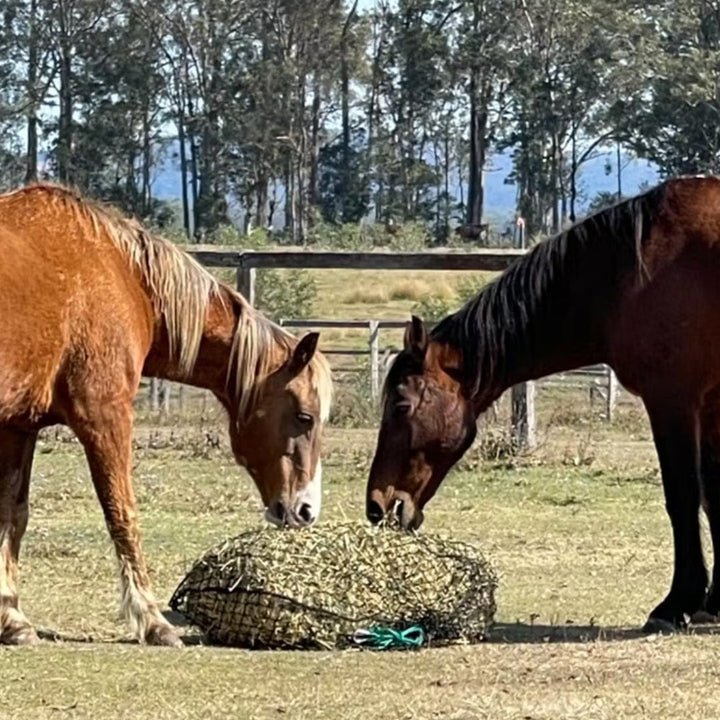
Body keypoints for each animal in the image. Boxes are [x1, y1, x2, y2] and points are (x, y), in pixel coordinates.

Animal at [0, 184, 332, 648]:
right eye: (305, 417)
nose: (306, 509)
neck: (121, 276)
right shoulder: (105, 418)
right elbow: (123, 514)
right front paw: (153, 619)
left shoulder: (20, 426)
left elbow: (12, 515)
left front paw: (12, 617)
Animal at [368, 177, 720, 632]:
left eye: (401, 407)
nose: (377, 505)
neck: (634, 271)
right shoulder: (709, 403)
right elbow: (714, 495)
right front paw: (716, 600)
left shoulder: (672, 401)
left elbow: (682, 497)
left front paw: (677, 603)